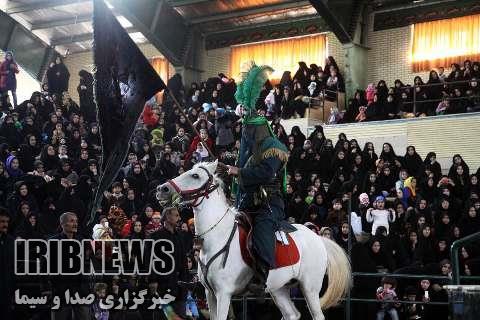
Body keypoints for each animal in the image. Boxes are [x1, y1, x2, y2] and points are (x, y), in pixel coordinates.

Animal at [156, 161, 350, 320]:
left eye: (195, 175)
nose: (162, 189)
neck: (218, 237)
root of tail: (317, 238)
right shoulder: (210, 294)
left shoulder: (223, 294)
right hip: (278, 289)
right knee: (292, 314)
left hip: (310, 288)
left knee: (316, 315)